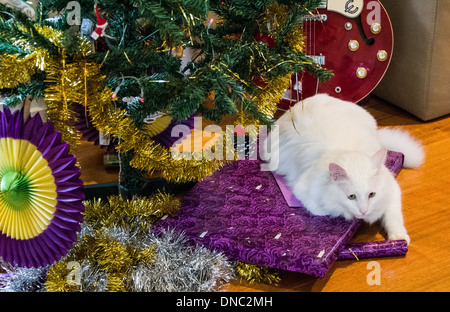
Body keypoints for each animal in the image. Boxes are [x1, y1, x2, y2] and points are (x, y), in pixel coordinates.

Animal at [262, 94, 424, 245]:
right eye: (351, 197)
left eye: (371, 195)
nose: (363, 211)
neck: (347, 150)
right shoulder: (304, 191)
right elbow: (323, 209)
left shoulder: (393, 189)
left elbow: (394, 216)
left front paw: (399, 237)